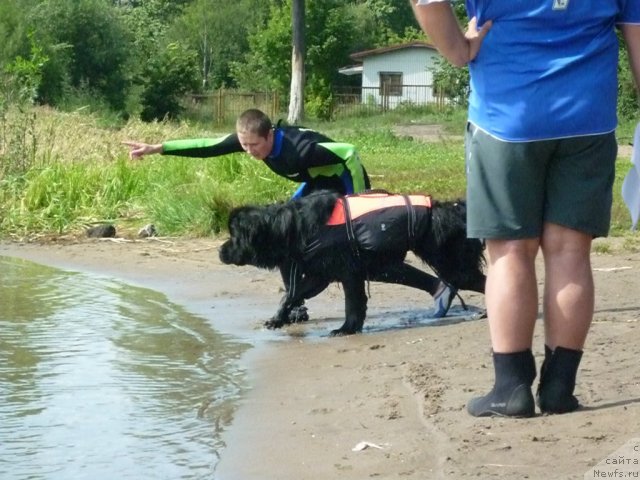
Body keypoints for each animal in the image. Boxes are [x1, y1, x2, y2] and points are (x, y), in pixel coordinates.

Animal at [220, 189, 484, 336]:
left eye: (234, 237)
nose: (220, 251)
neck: (290, 227)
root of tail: (455, 209)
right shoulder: (322, 273)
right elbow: (292, 295)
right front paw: (277, 319)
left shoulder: (347, 271)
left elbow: (352, 303)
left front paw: (346, 329)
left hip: (452, 263)